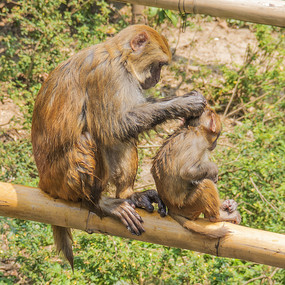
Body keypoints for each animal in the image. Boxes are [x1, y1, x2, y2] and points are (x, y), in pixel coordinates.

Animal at [31, 25, 204, 266]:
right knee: (90, 137)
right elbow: (116, 126)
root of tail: (44, 184)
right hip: (62, 183)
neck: (120, 56)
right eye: (159, 65)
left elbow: (119, 131)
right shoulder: (108, 74)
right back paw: (97, 204)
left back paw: (127, 194)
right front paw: (184, 103)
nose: (158, 78)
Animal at [151, 95, 240, 237]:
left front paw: (229, 204)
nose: (215, 144)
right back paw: (216, 217)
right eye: (218, 135)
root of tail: (172, 209)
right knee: (205, 184)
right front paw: (214, 170)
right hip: (189, 205)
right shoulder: (197, 141)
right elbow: (187, 171)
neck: (195, 129)